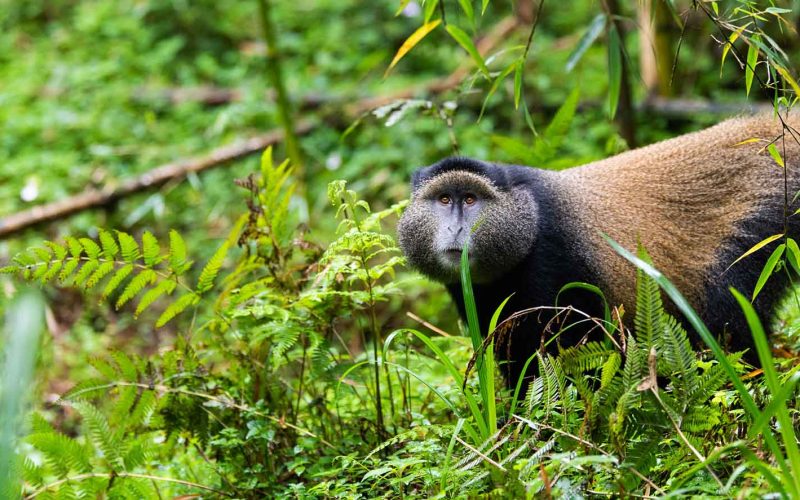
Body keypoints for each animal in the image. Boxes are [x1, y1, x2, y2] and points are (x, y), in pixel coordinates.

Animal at [397, 113, 800, 388]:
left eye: (470, 199)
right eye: (444, 199)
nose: (456, 228)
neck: (528, 217)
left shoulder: (553, 267)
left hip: (766, 229)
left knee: (730, 317)